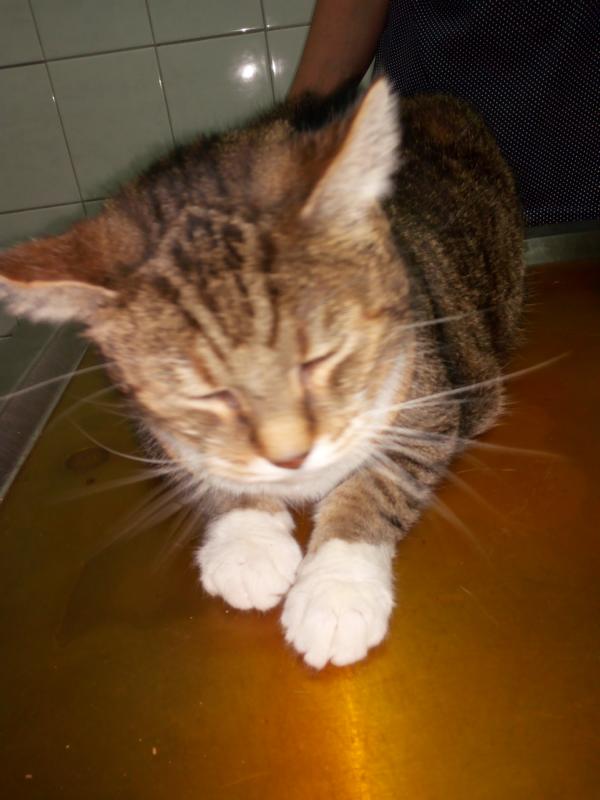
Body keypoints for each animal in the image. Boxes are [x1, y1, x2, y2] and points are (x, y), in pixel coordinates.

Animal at [0, 78, 524, 668]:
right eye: (207, 393)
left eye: (320, 357)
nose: (290, 456)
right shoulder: (147, 419)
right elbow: (202, 467)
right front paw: (248, 543)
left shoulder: (431, 394)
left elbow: (380, 482)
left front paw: (337, 589)